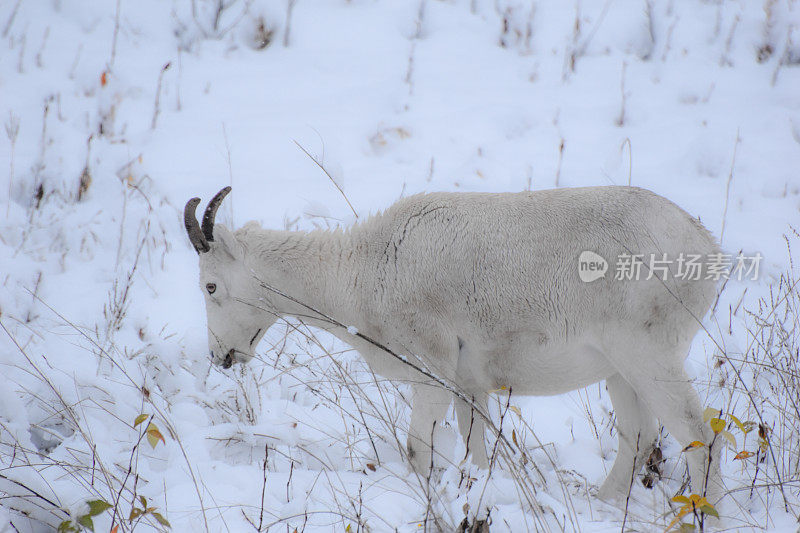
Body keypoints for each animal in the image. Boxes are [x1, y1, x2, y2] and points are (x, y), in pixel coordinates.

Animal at [184, 185, 720, 504]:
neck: (367, 269)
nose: (221, 357)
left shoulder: (434, 375)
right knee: (639, 437)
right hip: (620, 374)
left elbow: (417, 449)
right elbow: (475, 452)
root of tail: (707, 248)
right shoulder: (471, 387)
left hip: (649, 361)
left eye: (210, 286)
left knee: (699, 436)